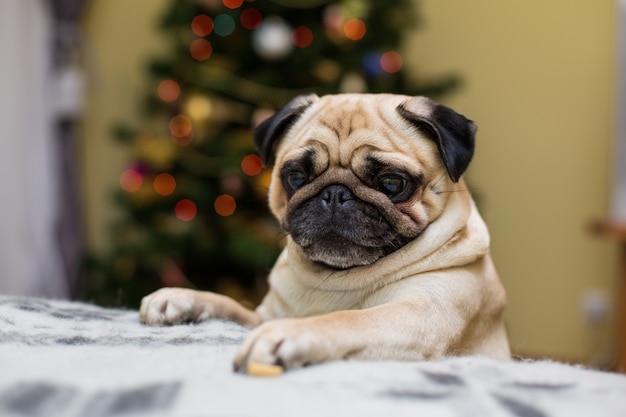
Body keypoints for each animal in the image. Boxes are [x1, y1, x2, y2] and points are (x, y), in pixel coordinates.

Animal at [139, 92, 510, 368]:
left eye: (392, 184)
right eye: (296, 177)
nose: (334, 195)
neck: (334, 279)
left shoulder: (419, 316)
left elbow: (346, 320)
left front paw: (287, 335)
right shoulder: (261, 314)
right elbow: (229, 304)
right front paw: (180, 298)